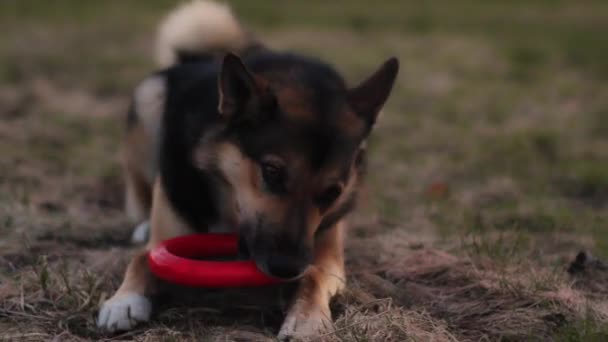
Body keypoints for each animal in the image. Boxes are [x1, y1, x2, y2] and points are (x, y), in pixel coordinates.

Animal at [97, 0, 396, 340]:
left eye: (333, 191)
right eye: (272, 171)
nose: (286, 267)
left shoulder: (327, 251)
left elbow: (315, 274)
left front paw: (307, 318)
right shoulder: (167, 231)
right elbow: (143, 258)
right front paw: (123, 301)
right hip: (149, 98)